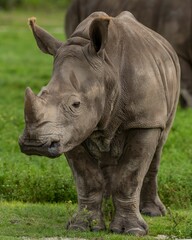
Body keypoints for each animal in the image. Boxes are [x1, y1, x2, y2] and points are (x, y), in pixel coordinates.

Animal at [19, 11, 180, 236]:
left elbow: (130, 175)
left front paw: (131, 230)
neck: (107, 69)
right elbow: (87, 179)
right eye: (42, 93)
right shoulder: (71, 132)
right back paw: (107, 204)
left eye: (76, 104)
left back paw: (153, 213)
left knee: (159, 145)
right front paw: (83, 225)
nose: (34, 144)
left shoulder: (144, 121)